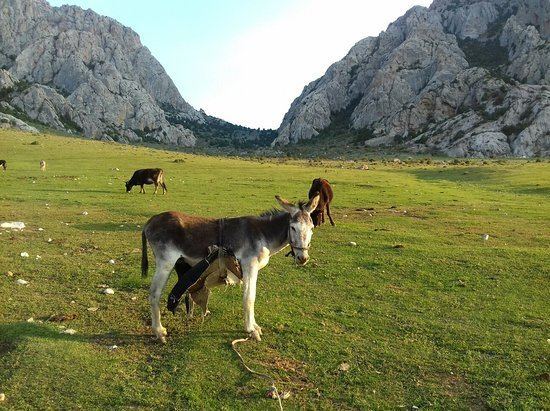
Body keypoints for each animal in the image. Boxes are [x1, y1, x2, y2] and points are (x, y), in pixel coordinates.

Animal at [142, 195, 322, 342]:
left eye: (312, 228)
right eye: (293, 228)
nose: (303, 258)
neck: (262, 235)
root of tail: (151, 221)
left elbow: (251, 297)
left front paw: (254, 326)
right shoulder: (250, 266)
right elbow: (249, 298)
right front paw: (250, 330)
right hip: (165, 263)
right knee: (154, 294)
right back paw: (159, 332)